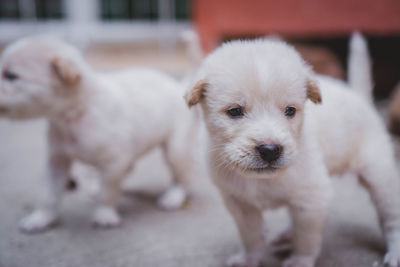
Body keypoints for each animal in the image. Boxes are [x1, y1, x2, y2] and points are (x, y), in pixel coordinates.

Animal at [0, 36, 197, 233]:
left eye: (11, 76)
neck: (74, 114)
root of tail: (177, 85)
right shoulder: (56, 161)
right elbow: (47, 194)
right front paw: (41, 218)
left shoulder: (115, 162)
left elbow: (108, 192)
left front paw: (104, 214)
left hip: (176, 151)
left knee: (184, 177)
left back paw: (174, 196)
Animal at [186, 33, 400, 267]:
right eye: (234, 111)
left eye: (290, 110)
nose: (270, 150)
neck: (262, 180)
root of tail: (359, 97)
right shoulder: (240, 204)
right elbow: (251, 235)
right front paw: (250, 258)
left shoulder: (312, 197)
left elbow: (307, 237)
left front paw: (300, 260)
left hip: (380, 177)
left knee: (391, 218)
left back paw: (395, 252)